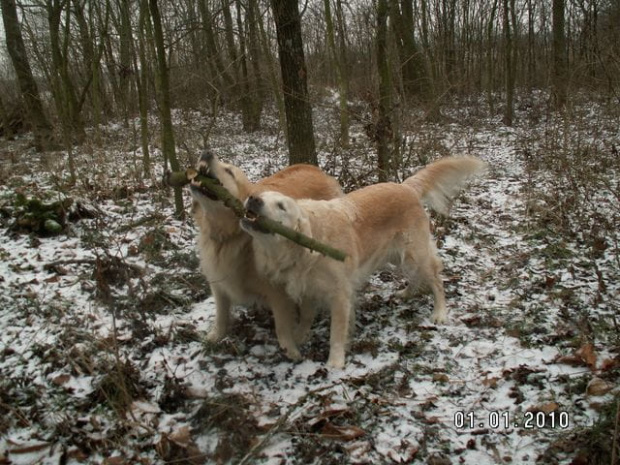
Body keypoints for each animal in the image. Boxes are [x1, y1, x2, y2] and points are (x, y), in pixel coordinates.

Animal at [190, 150, 342, 358]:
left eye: (229, 172)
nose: (207, 152)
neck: (230, 237)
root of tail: (314, 168)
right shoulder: (218, 281)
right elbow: (221, 314)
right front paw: (215, 337)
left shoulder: (278, 291)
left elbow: (282, 326)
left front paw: (290, 349)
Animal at [240, 158, 486, 368]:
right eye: (262, 196)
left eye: (281, 206)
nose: (253, 199)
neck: (303, 248)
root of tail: (405, 186)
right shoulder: (307, 287)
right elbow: (307, 316)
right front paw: (298, 338)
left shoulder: (340, 294)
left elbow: (336, 333)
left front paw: (335, 362)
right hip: (397, 256)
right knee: (416, 275)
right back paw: (407, 293)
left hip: (415, 252)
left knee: (436, 279)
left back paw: (440, 312)